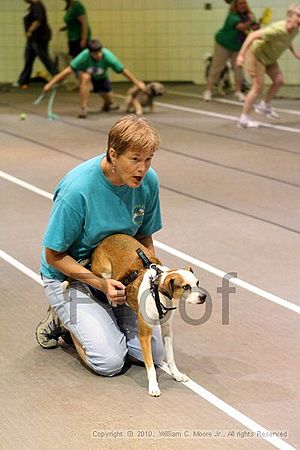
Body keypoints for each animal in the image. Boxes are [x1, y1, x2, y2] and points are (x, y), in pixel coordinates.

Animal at [90, 234, 206, 396]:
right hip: (105, 270)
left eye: (197, 282)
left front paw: (176, 374)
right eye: (186, 287)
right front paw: (153, 386)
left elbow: (171, 357)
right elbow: (150, 366)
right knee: (104, 281)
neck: (158, 293)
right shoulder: (145, 336)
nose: (203, 297)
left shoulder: (167, 331)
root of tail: (102, 242)